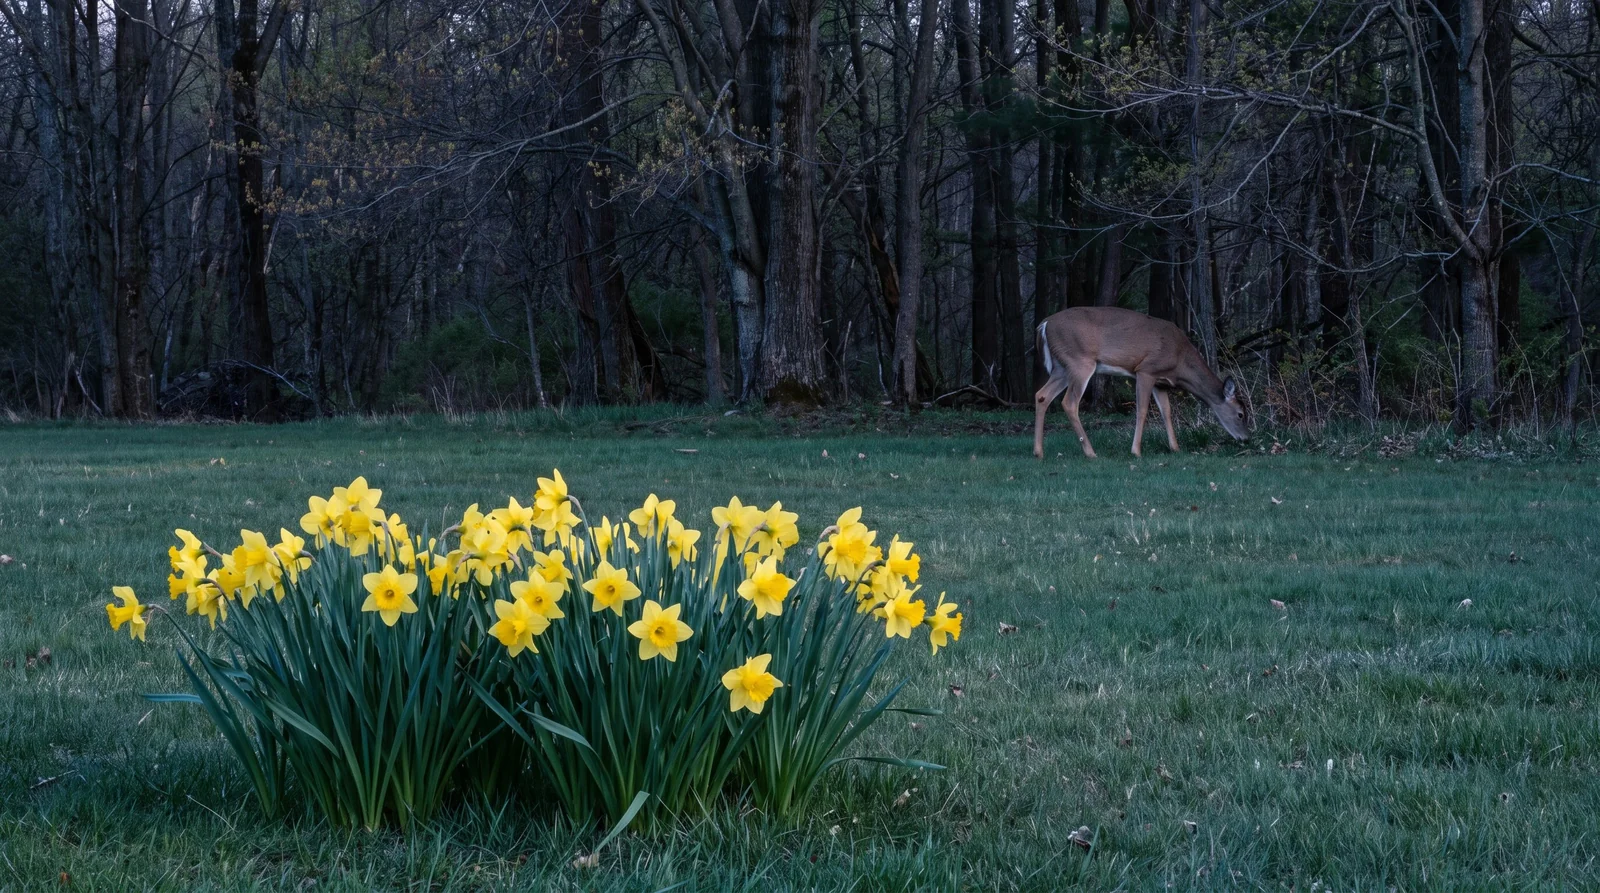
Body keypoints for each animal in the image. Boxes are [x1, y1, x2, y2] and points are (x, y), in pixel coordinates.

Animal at [1033, 307, 1249, 459]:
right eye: (1240, 414)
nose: (1246, 438)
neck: (1180, 361)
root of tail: (1044, 324)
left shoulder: (1161, 382)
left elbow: (1166, 412)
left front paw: (1175, 448)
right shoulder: (1146, 370)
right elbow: (1142, 410)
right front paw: (1136, 451)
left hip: (1062, 367)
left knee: (1042, 395)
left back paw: (1038, 452)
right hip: (1080, 361)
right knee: (1069, 403)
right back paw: (1090, 452)